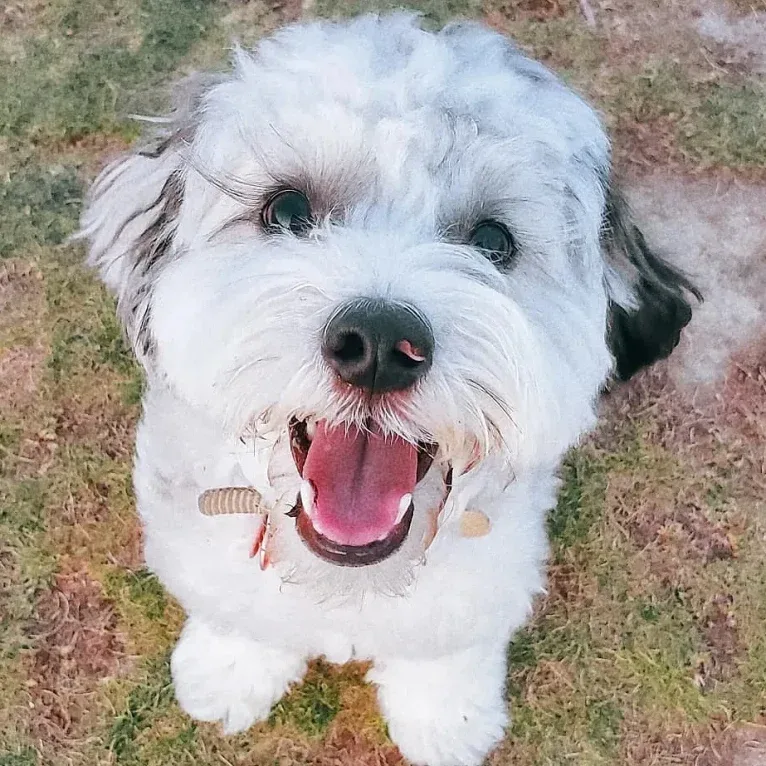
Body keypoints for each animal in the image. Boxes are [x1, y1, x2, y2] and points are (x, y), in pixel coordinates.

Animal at [79, 12, 704, 766]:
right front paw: (230, 669)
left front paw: (446, 718)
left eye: (493, 241)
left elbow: (447, 646)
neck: (348, 583)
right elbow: (238, 610)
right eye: (286, 210)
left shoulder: (486, 572)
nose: (379, 345)